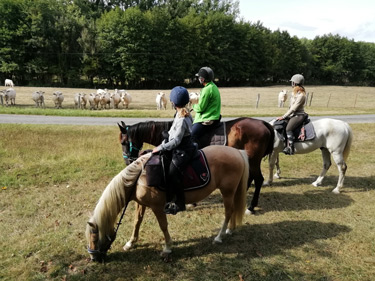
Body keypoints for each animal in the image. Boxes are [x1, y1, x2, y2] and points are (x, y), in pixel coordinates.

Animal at [85, 145, 250, 262]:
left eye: (94, 238)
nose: (93, 258)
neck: (139, 177)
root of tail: (237, 152)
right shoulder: (141, 204)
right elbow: (137, 222)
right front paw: (130, 243)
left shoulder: (157, 207)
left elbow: (163, 226)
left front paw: (167, 248)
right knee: (232, 211)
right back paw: (230, 230)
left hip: (227, 191)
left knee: (228, 212)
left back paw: (219, 237)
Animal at [119, 116, 274, 212]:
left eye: (124, 142)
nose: (127, 160)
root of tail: (263, 123)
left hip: (253, 160)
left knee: (259, 179)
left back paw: (251, 207)